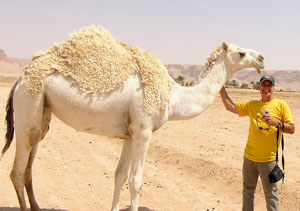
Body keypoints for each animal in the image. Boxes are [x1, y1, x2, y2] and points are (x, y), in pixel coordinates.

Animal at [2, 27, 264, 211]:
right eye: (240, 52)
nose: (261, 57)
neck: (173, 95)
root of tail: (20, 78)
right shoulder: (143, 131)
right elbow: (136, 180)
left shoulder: (129, 134)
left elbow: (119, 175)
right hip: (28, 102)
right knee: (16, 170)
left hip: (41, 112)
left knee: (29, 164)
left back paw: (37, 207)